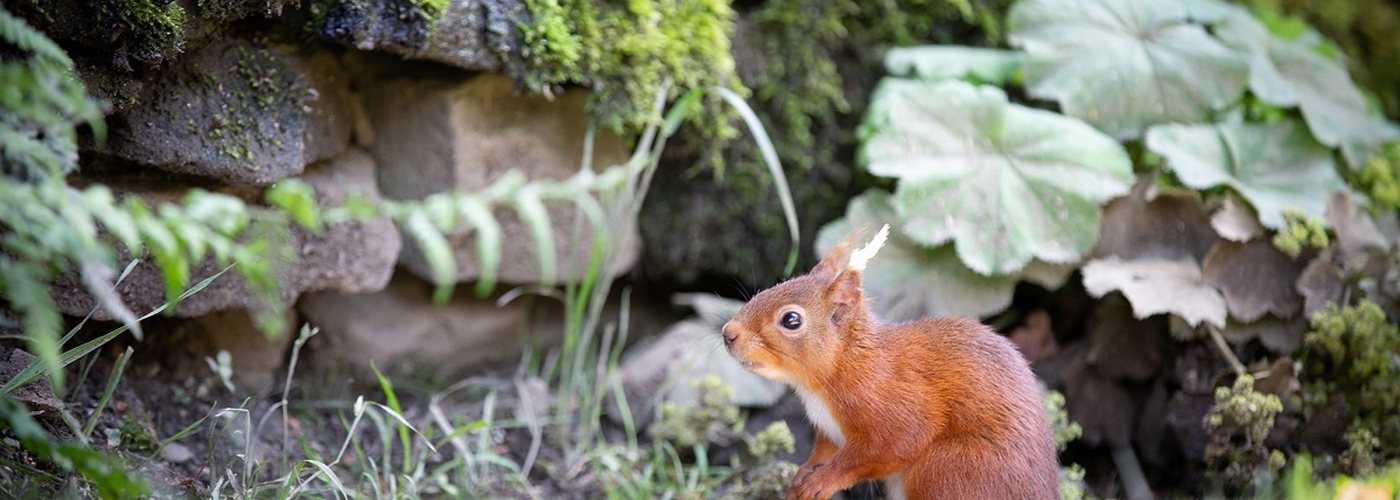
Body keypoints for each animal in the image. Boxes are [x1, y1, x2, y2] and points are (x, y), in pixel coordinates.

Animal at [728, 225, 1052, 498]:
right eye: (772, 287)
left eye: (791, 320)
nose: (728, 333)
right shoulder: (829, 432)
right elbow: (824, 451)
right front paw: (804, 473)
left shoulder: (893, 405)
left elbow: (888, 448)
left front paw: (823, 480)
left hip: (946, 469)